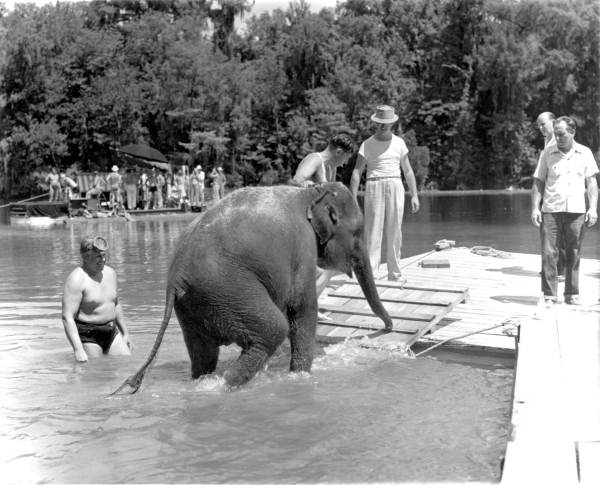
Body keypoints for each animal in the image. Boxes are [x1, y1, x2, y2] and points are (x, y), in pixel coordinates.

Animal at [112, 182, 394, 394]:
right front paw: (300, 376)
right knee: (273, 329)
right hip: (228, 290)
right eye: (358, 232)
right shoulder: (303, 248)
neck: (311, 193)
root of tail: (175, 277)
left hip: (195, 306)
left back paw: (204, 382)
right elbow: (302, 308)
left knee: (203, 353)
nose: (387, 328)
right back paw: (223, 386)